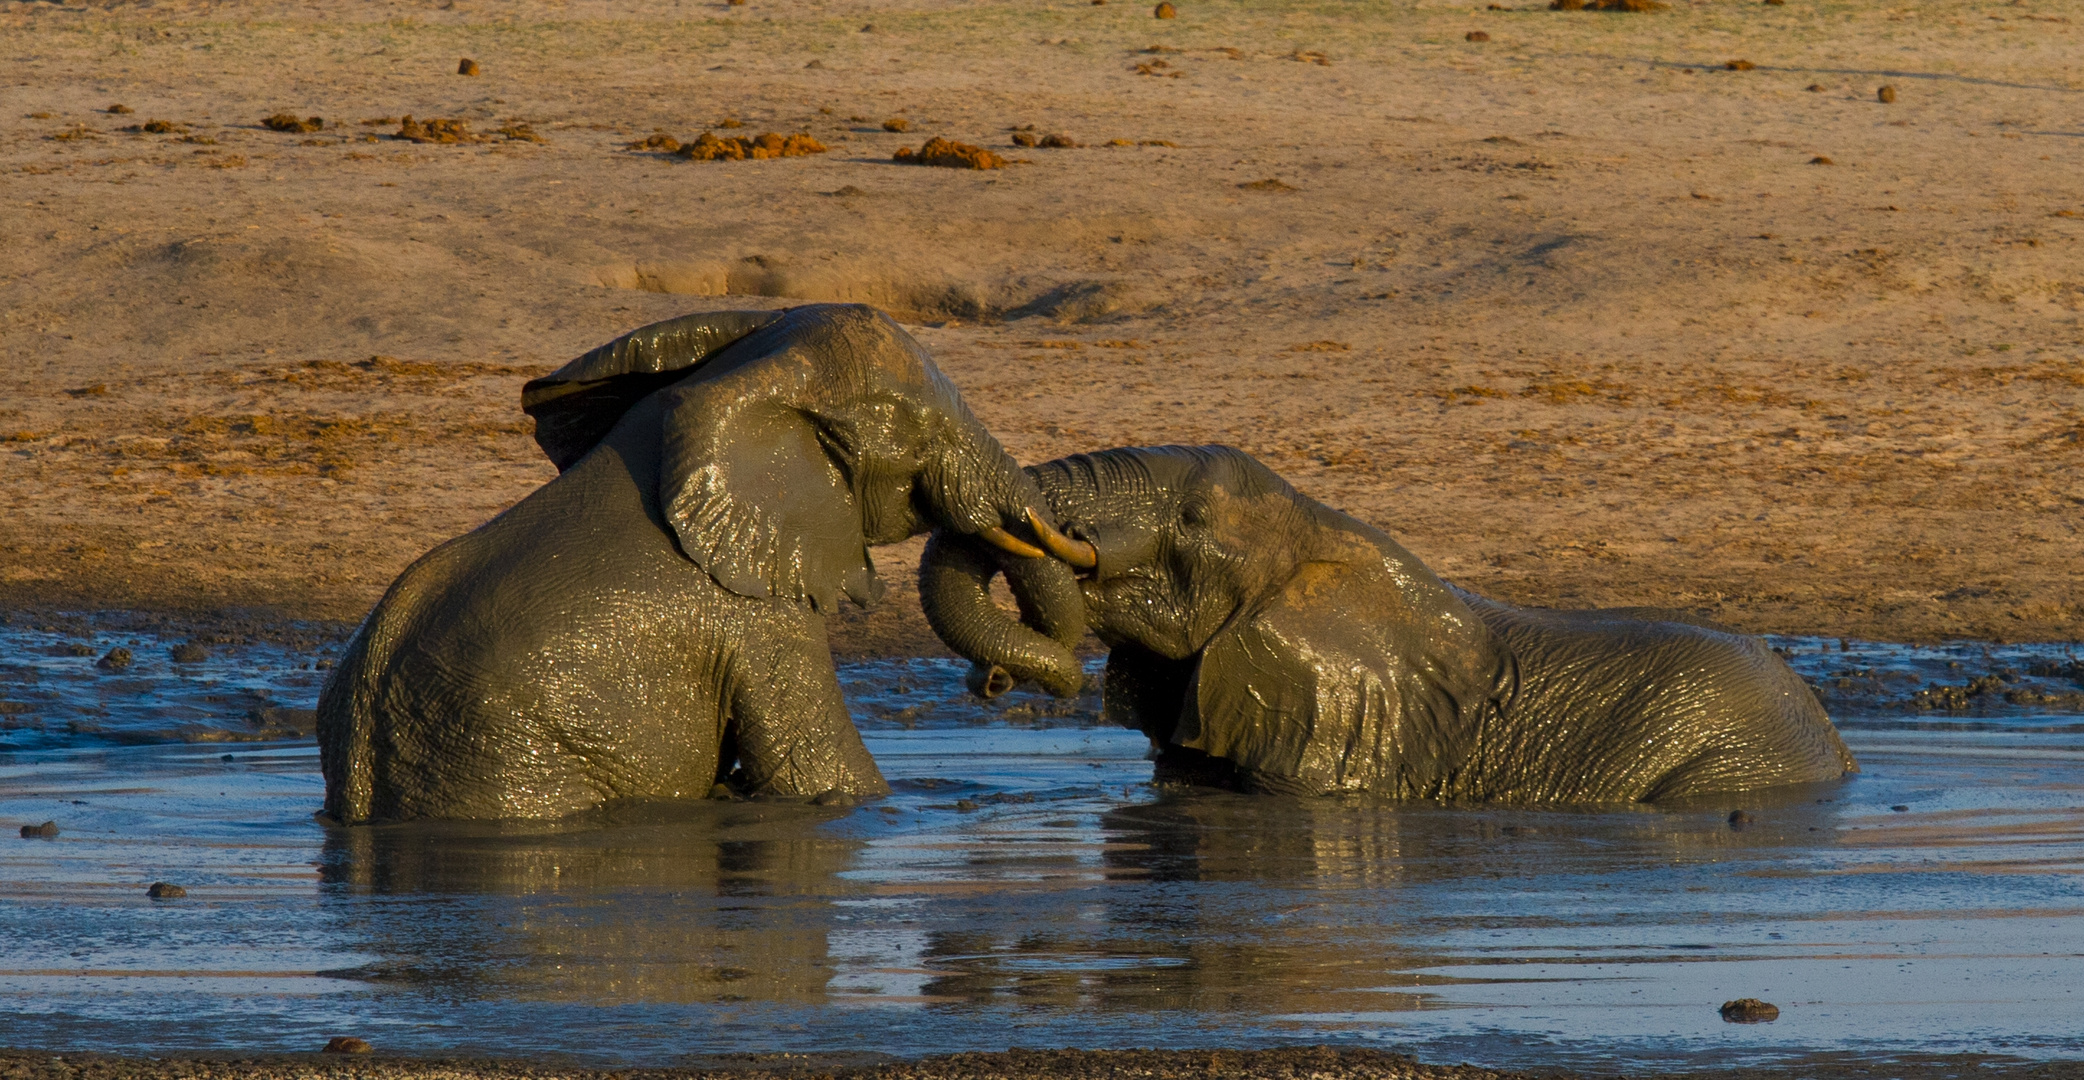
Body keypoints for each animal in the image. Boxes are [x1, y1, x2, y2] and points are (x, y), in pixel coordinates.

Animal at [316, 306, 1092, 829]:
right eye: (928, 434)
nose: (996, 684)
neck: (729, 389)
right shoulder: (757, 615)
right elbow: (822, 772)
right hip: (502, 765)